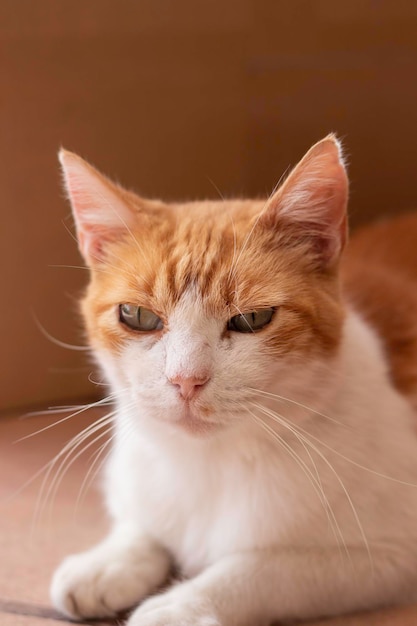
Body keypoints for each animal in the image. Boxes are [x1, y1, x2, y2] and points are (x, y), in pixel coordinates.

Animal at [50, 136, 416, 624]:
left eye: (253, 319)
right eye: (138, 316)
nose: (185, 380)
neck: (208, 463)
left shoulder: (389, 553)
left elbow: (262, 567)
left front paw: (183, 605)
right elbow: (144, 525)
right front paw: (106, 564)